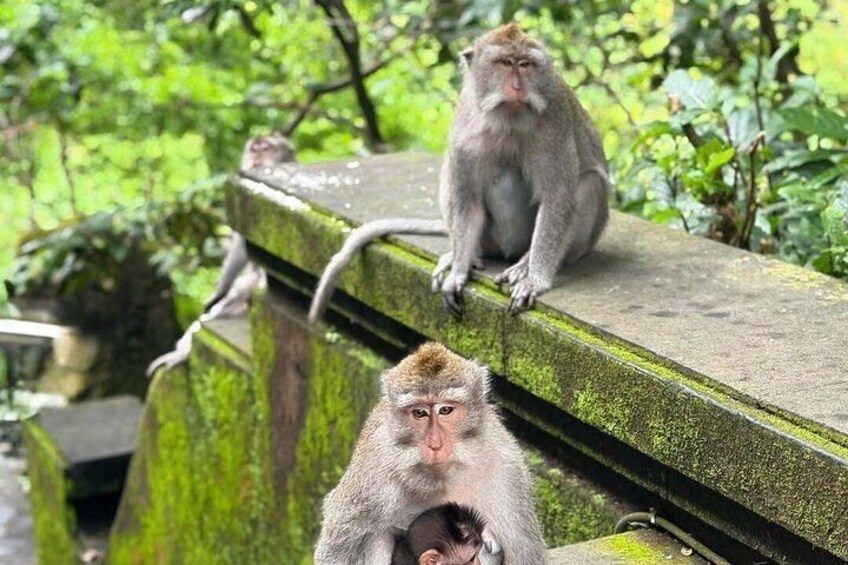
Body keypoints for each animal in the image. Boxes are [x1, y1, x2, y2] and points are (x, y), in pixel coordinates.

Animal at [307, 23, 608, 322]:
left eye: (525, 64)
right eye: (504, 63)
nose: (516, 87)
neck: (508, 119)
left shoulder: (555, 123)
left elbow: (557, 197)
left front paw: (535, 279)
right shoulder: (465, 130)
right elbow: (466, 199)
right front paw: (459, 270)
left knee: (590, 183)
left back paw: (523, 263)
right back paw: (462, 254)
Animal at [313, 342, 545, 565]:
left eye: (445, 410)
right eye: (419, 413)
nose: (435, 445)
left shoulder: (506, 468)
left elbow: (525, 552)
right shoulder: (372, 471)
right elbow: (341, 544)